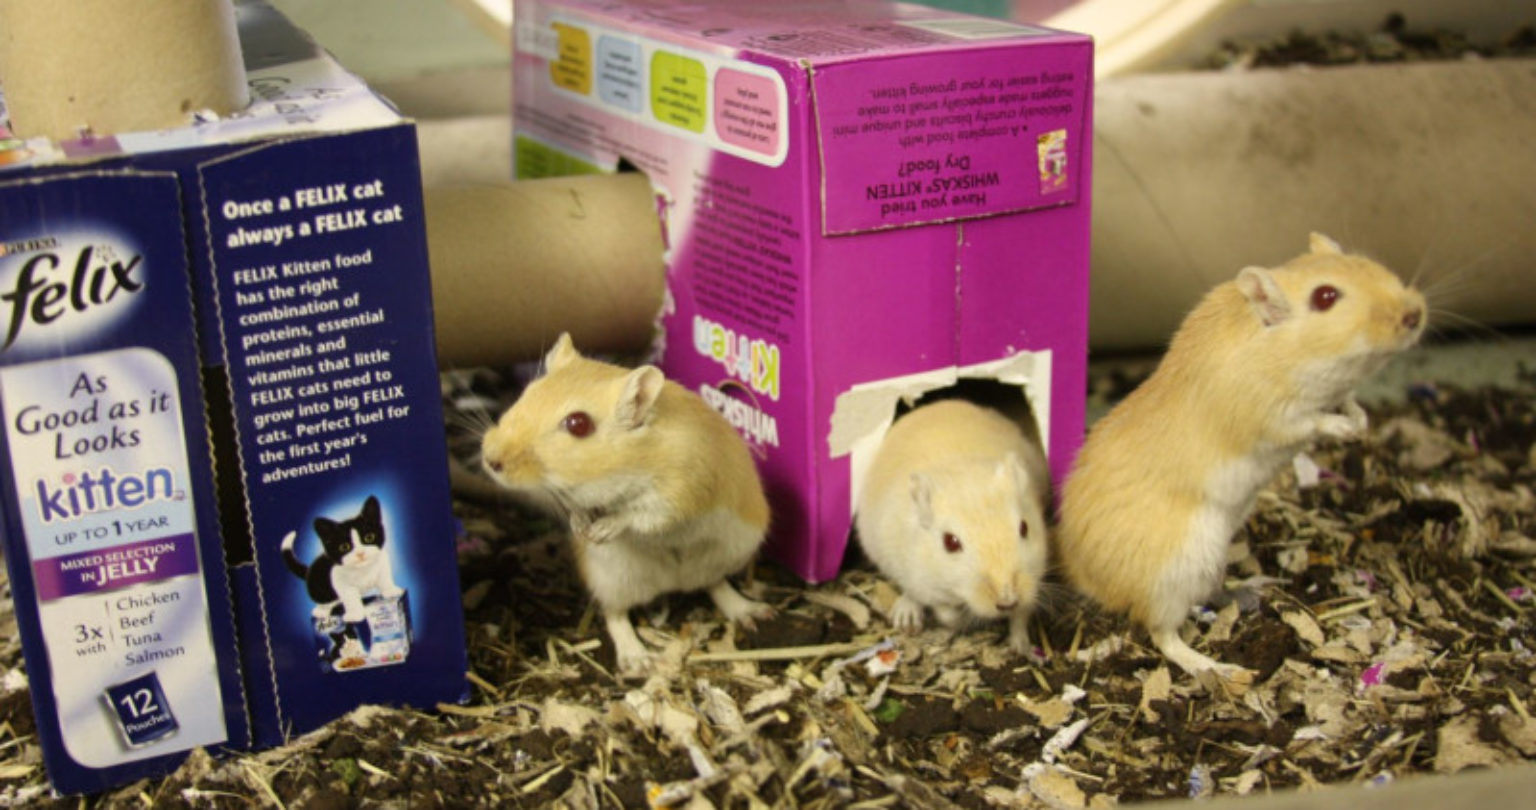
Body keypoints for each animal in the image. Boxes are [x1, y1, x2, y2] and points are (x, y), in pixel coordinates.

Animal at [480, 333, 772, 674]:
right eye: (526, 393)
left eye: (578, 424)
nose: (489, 459)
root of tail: (674, 581)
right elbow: (578, 510)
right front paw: (582, 529)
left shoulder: (678, 493)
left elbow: (635, 514)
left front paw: (600, 531)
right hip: (612, 578)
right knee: (616, 613)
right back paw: (637, 660)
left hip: (729, 553)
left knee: (715, 585)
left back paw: (754, 612)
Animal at [855, 398, 1051, 654]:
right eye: (950, 543)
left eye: (1024, 528)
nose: (1007, 601)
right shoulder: (921, 581)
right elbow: (944, 611)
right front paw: (960, 619)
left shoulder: (1034, 575)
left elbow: (1021, 616)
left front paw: (1021, 646)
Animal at [1057, 234, 1426, 678]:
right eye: (1325, 297)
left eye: (1369, 264)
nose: (1415, 314)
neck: (1278, 348)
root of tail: (1083, 577)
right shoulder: (1274, 417)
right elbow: (1314, 422)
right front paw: (1347, 430)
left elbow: (1349, 403)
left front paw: (1361, 420)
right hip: (1173, 576)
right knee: (1163, 636)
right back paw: (1220, 669)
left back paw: (1253, 586)